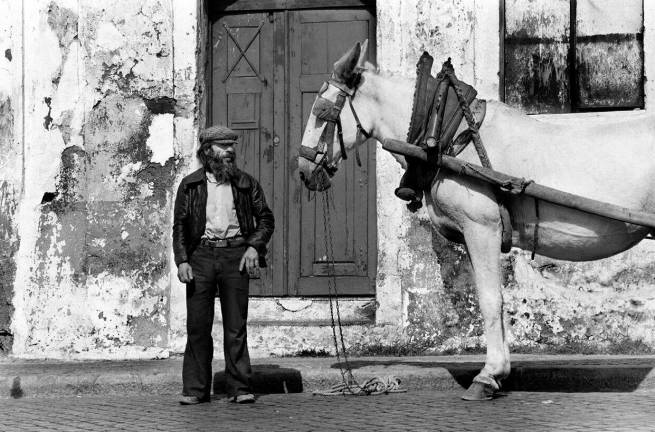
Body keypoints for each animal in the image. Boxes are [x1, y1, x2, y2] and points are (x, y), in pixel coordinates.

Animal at [300, 42, 655, 400]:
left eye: (320, 111)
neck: (451, 137)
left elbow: (489, 300)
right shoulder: (473, 234)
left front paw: (488, 375)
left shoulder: (481, 228)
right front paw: (500, 373)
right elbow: (495, 297)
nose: (303, 171)